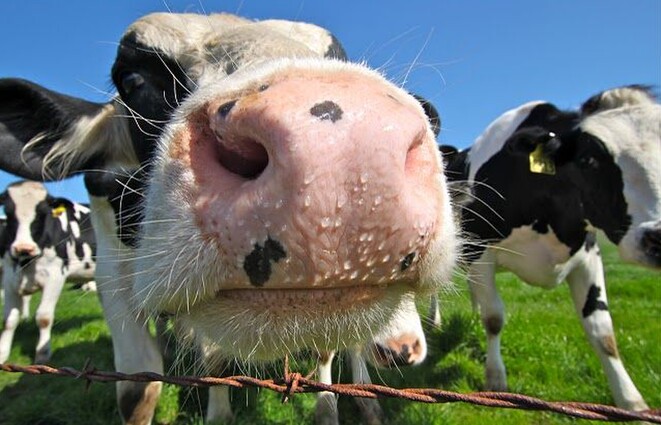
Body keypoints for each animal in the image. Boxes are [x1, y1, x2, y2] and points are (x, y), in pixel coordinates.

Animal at [0, 180, 96, 364]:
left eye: (42, 213)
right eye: (8, 212)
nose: (24, 248)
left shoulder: (55, 276)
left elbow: (43, 317)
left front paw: (42, 354)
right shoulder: (9, 279)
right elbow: (9, 320)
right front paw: (2, 354)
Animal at [436, 84, 660, 411]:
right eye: (588, 160)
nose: (657, 236)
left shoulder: (588, 255)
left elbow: (602, 330)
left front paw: (631, 401)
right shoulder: (481, 249)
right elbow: (494, 318)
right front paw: (495, 379)